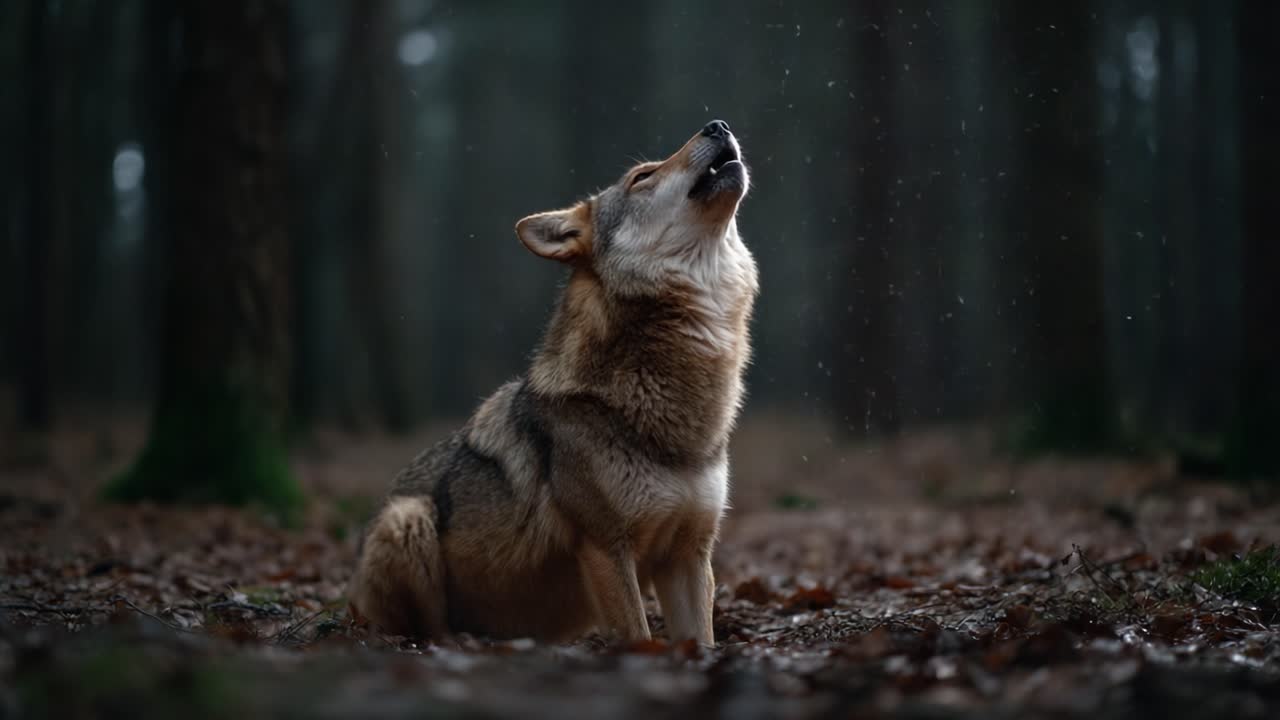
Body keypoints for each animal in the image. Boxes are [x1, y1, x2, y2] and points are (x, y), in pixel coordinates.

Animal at [347, 120, 758, 646]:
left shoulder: (689, 555)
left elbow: (701, 643)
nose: (718, 125)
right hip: (408, 518)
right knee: (430, 629)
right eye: (642, 176)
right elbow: (640, 637)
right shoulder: (606, 549)